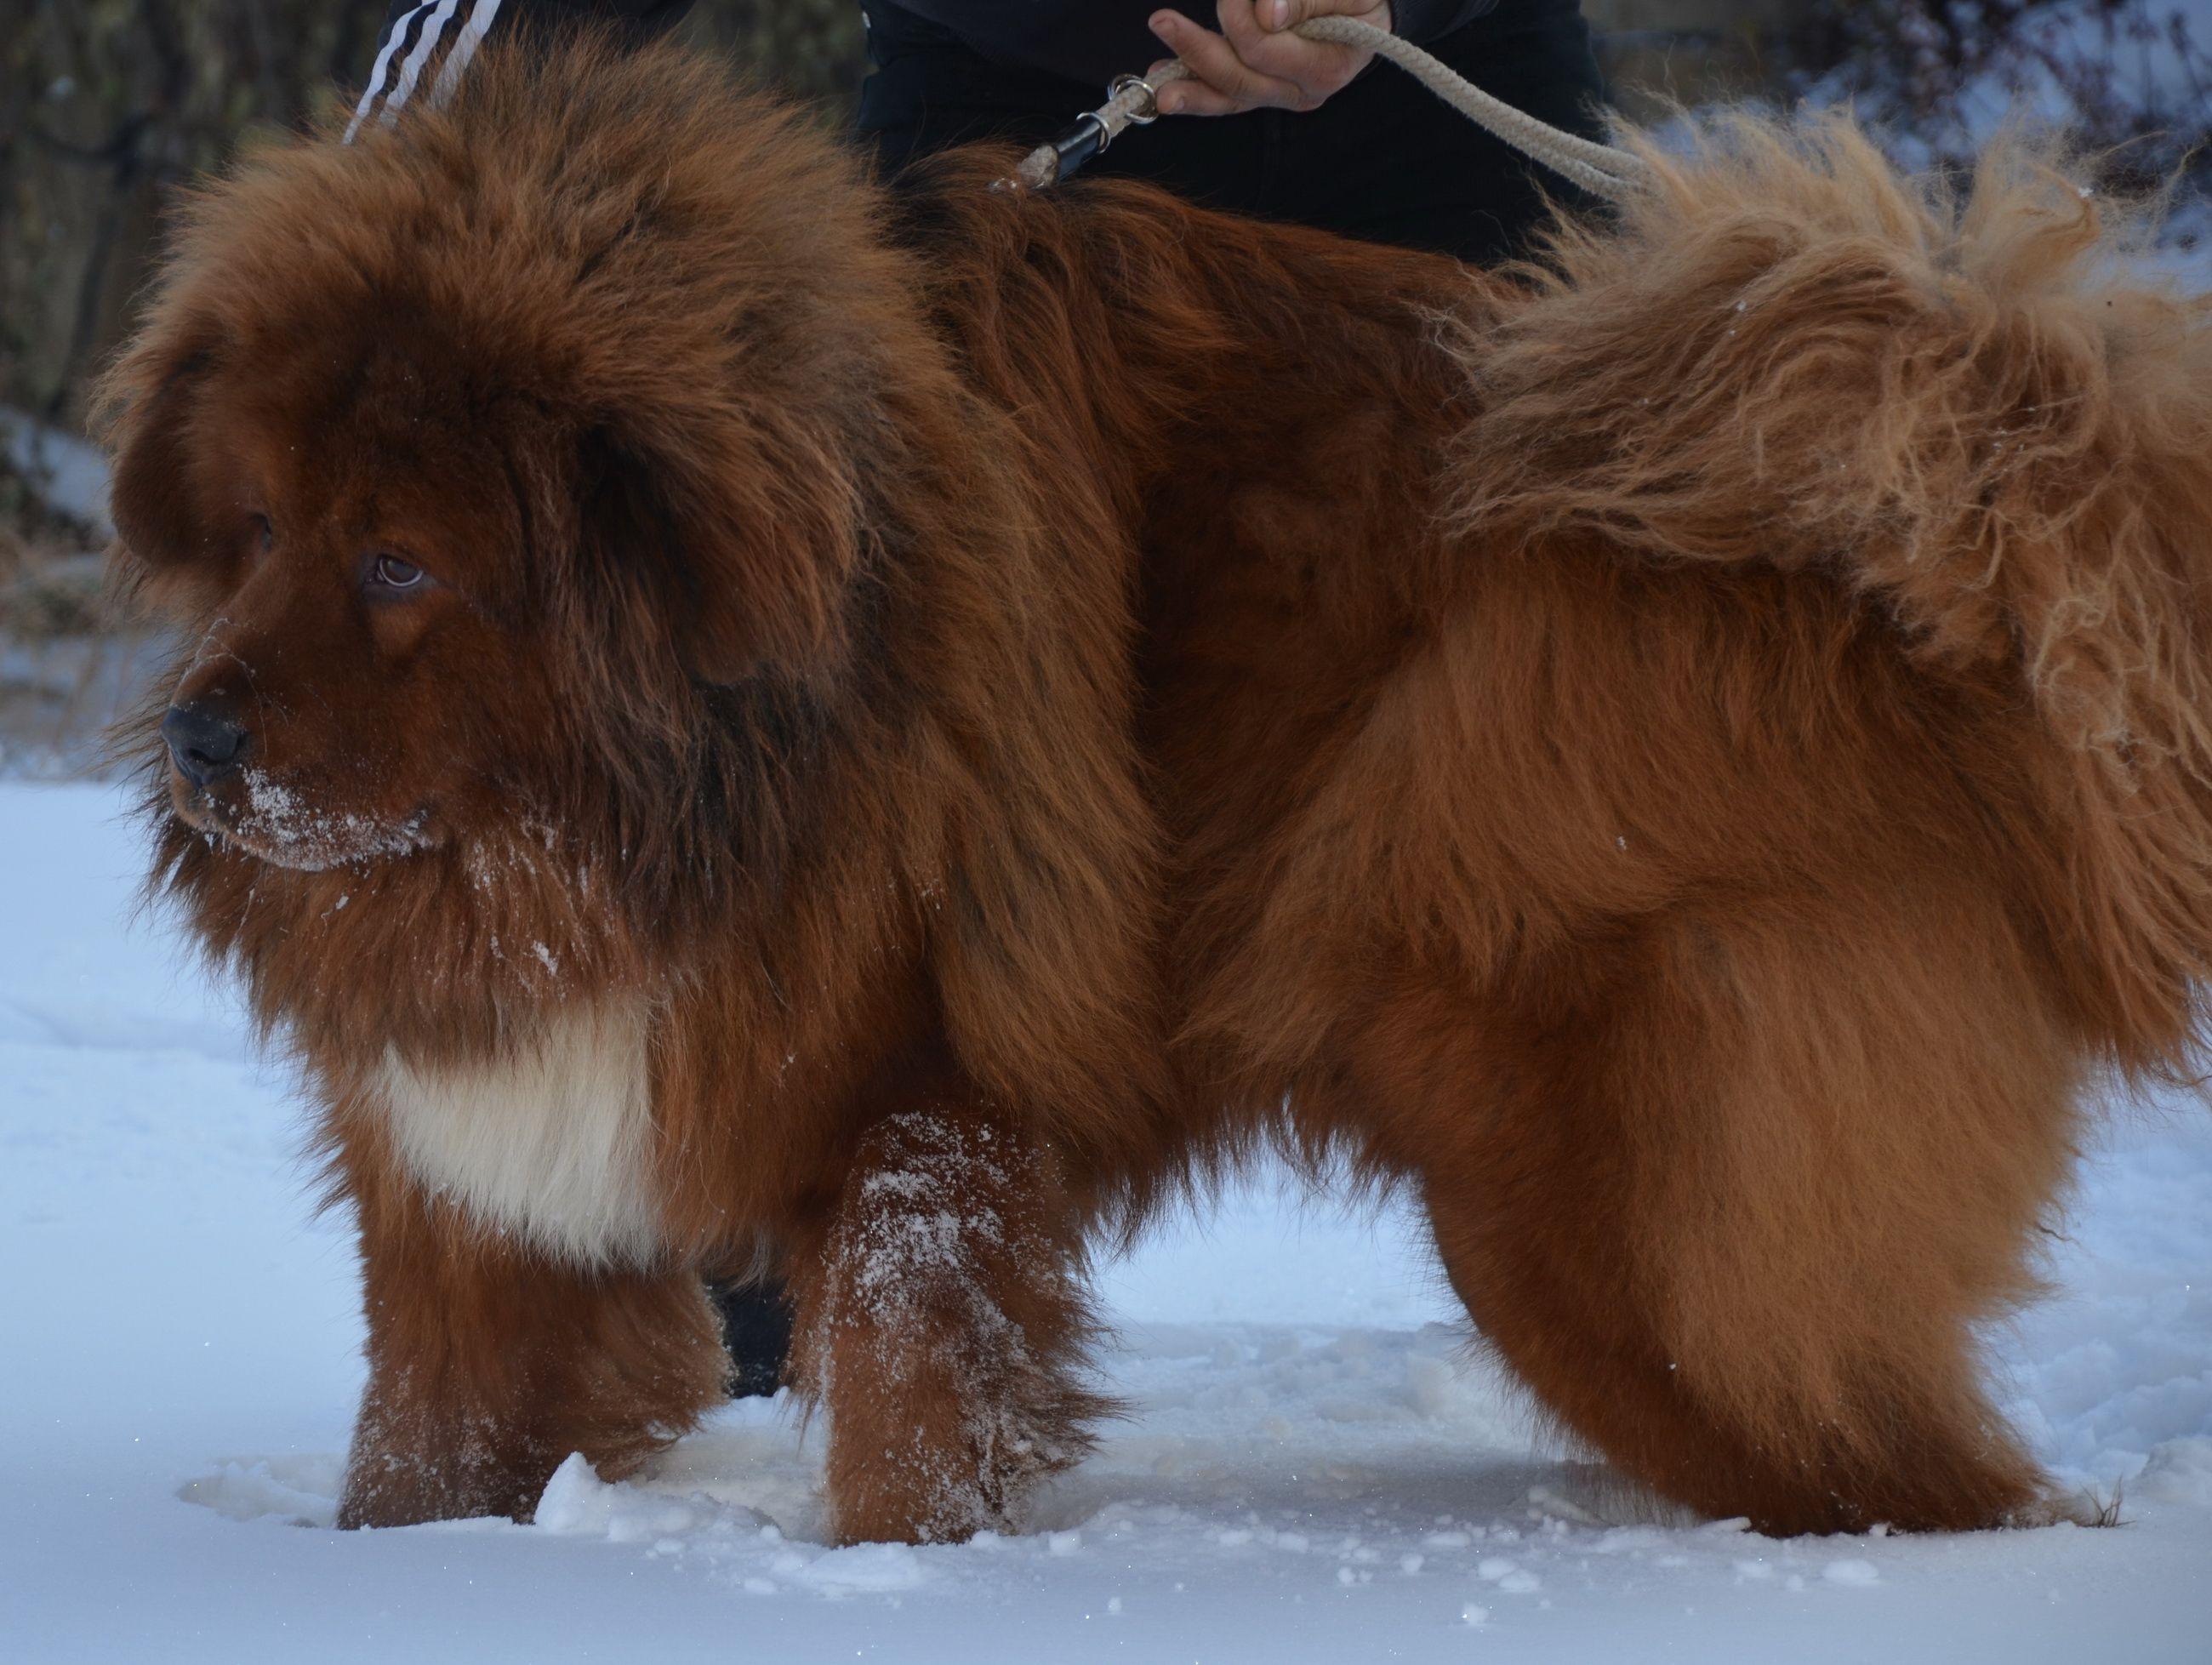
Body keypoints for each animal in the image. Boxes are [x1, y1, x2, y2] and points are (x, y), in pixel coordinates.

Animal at [104, 38, 2212, 1538]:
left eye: (401, 566)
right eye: (261, 529)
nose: (197, 742)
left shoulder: (926, 1108)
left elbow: (908, 1409)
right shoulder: (478, 1183)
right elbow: (429, 1436)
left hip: (1605, 1220)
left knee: (1928, 1480)